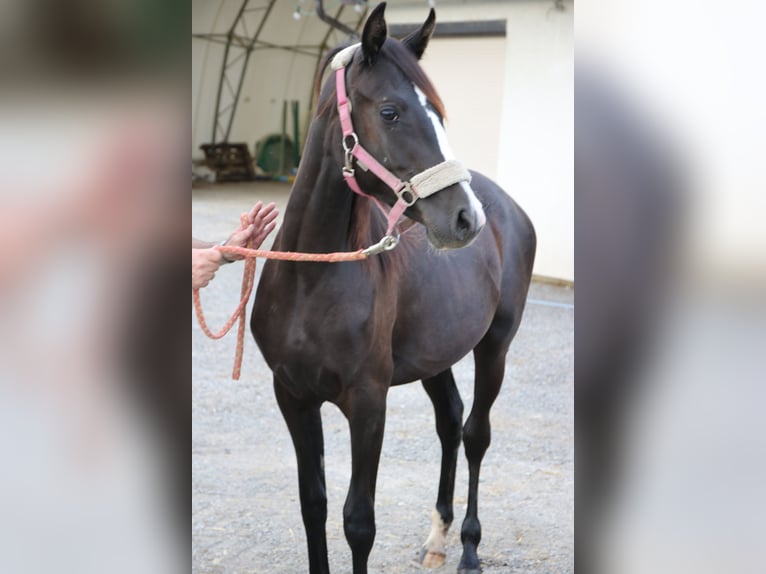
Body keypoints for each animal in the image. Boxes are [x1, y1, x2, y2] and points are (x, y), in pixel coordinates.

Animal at [252, 5, 536, 574]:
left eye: (441, 114)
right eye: (390, 111)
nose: (465, 218)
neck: (312, 280)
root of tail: (508, 208)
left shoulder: (368, 402)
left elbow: (358, 522)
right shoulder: (292, 396)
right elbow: (313, 504)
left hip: (494, 346)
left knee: (475, 435)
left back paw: (469, 547)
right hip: (436, 353)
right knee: (450, 421)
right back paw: (437, 538)